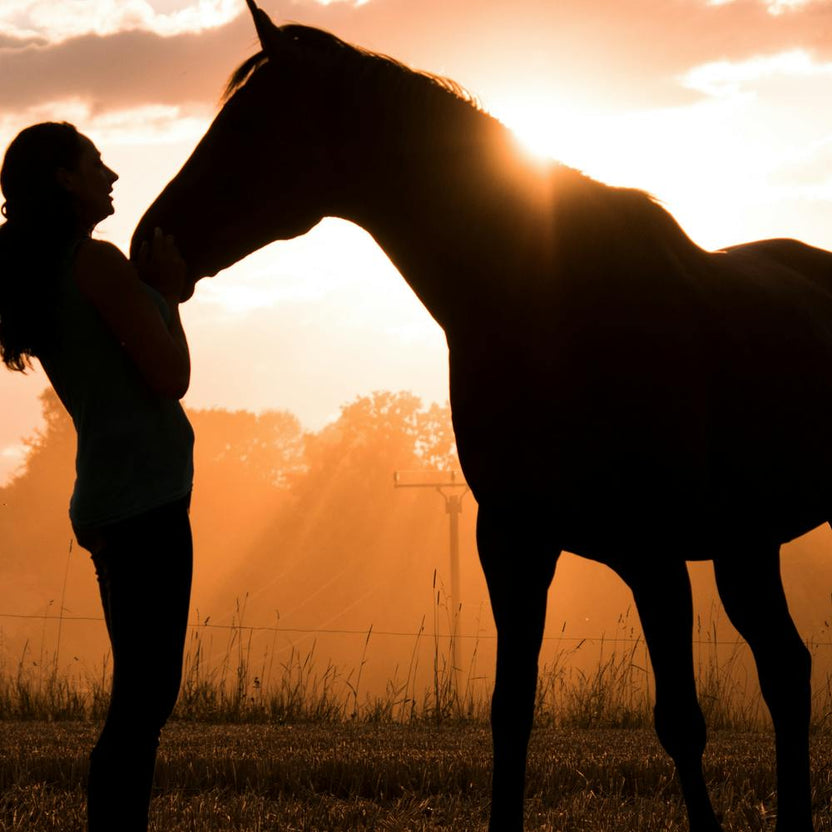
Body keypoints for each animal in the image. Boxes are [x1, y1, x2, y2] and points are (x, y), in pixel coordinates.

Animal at [132, 3, 832, 829]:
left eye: (251, 125)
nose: (147, 242)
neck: (553, 304)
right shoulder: (512, 543)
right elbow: (510, 713)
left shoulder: (653, 554)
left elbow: (681, 722)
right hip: (746, 547)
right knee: (787, 670)